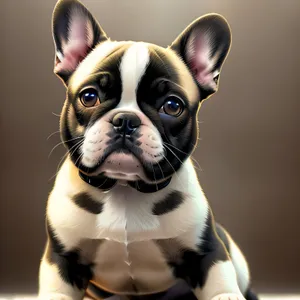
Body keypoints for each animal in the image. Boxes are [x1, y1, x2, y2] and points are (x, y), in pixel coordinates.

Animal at [38, 0, 258, 300]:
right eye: (89, 97)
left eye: (172, 106)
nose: (125, 120)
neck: (125, 189)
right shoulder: (62, 259)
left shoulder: (208, 252)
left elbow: (220, 287)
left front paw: (225, 295)